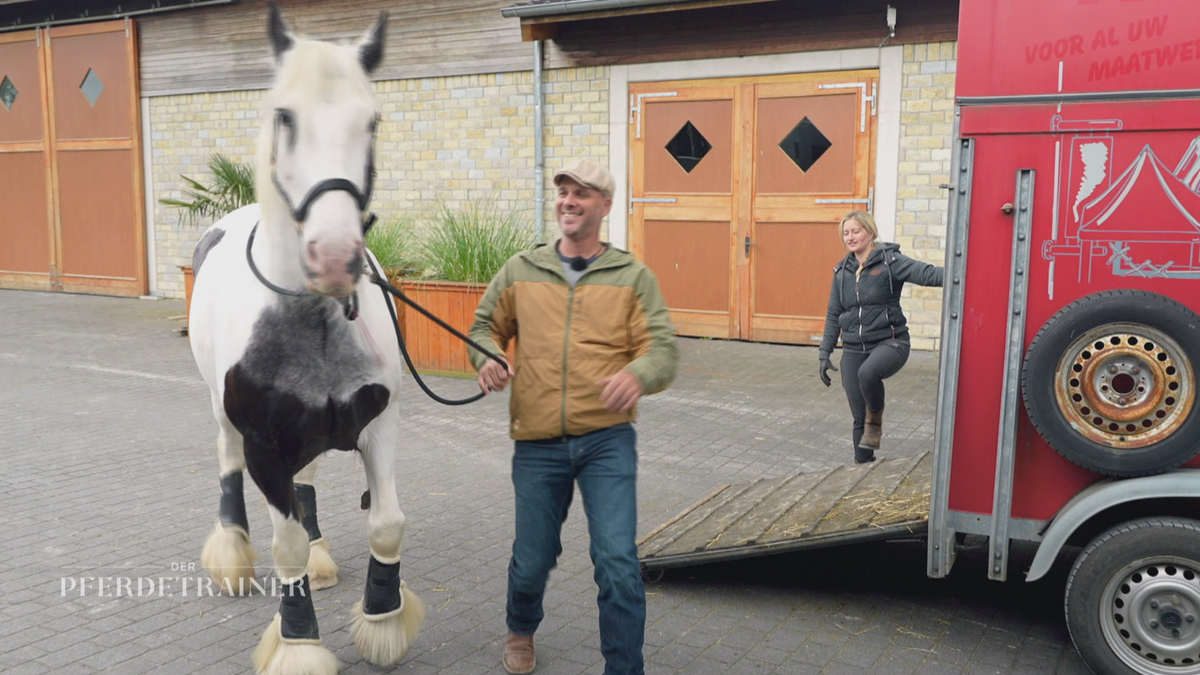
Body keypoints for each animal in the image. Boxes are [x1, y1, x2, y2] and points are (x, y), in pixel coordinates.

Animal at [188, 6, 427, 672]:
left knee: (308, 481)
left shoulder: (380, 424)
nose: (334, 256)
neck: (312, 318)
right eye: (285, 116)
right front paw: (299, 645)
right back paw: (232, 553)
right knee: (227, 464)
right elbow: (286, 543)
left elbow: (387, 523)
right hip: (221, 415)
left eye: (371, 120)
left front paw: (383, 621)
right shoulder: (265, 447)